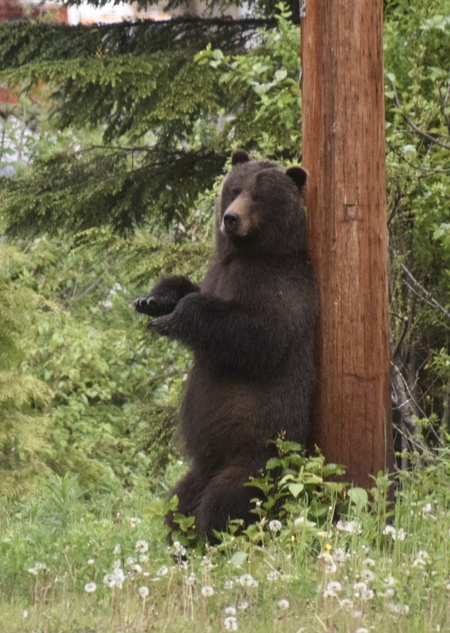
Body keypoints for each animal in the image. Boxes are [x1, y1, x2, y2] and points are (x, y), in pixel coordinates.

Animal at [134, 149, 316, 540]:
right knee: (178, 502)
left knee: (227, 501)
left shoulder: (281, 291)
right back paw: (179, 540)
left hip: (258, 456)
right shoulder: (216, 273)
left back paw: (212, 536)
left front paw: (172, 318)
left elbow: (255, 336)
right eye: (234, 188)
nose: (230, 218)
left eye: (259, 196)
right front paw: (153, 300)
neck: (243, 253)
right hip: (201, 467)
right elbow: (188, 287)